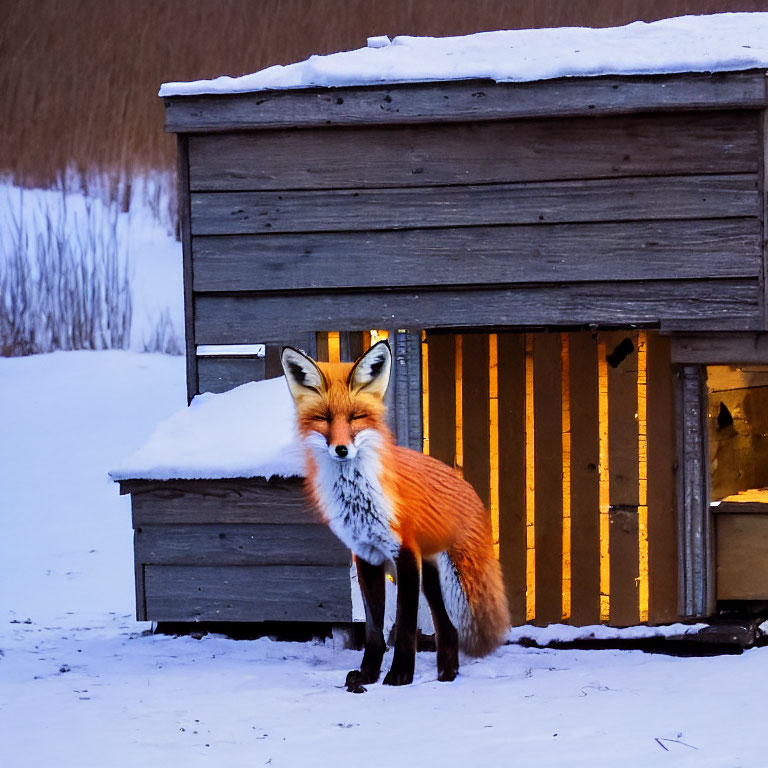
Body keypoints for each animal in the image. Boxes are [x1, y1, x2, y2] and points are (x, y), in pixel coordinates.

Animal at [282, 342, 510, 688]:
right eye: (323, 418)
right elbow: (374, 630)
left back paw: (447, 672)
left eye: (356, 417)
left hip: (450, 572)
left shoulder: (404, 554)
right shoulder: (367, 556)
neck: (359, 500)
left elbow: (404, 624)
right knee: (447, 627)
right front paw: (368, 674)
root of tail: (460, 476)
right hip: (430, 573)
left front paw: (400, 674)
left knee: (447, 623)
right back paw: (447, 671)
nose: (341, 450)